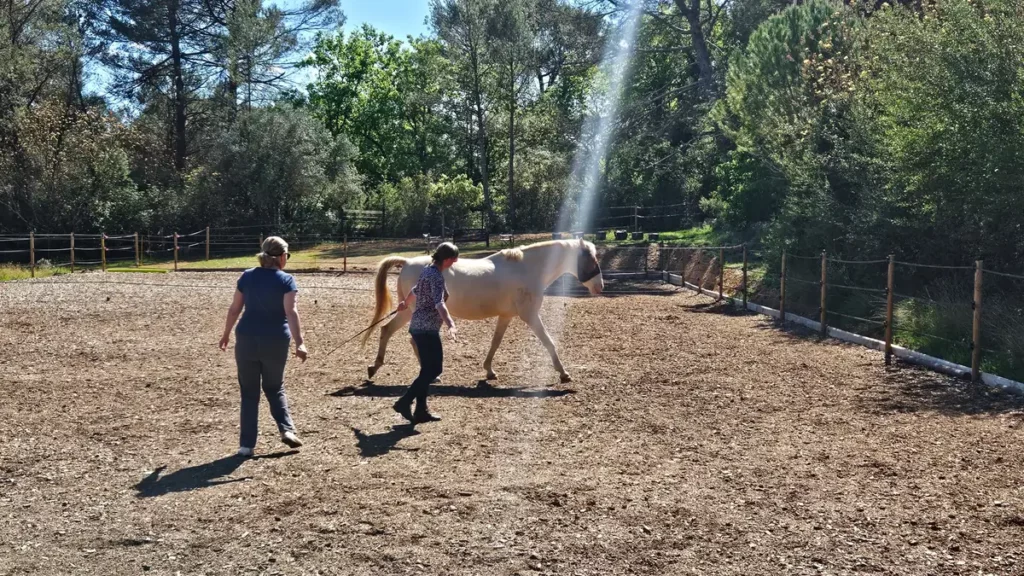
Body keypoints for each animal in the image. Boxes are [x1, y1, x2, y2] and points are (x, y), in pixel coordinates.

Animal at [361, 238, 605, 383]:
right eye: (592, 259)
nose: (600, 287)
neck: (527, 268)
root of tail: (407, 262)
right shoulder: (530, 316)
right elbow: (549, 342)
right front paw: (563, 373)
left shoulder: (506, 316)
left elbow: (495, 343)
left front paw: (489, 370)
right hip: (413, 312)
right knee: (402, 336)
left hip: (406, 311)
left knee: (388, 331)